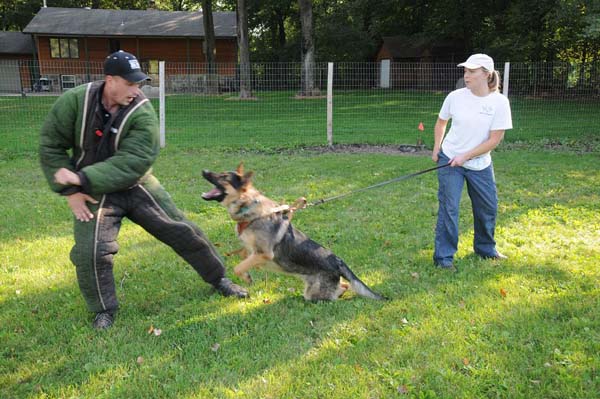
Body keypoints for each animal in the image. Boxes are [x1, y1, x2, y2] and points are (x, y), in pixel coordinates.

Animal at [202, 164, 386, 302]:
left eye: (224, 177)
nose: (203, 171)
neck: (249, 208)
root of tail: (337, 260)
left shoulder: (263, 254)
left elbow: (238, 267)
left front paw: (246, 277)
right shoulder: (251, 251)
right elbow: (243, 258)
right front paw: (247, 274)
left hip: (313, 294)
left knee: (334, 293)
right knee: (344, 286)